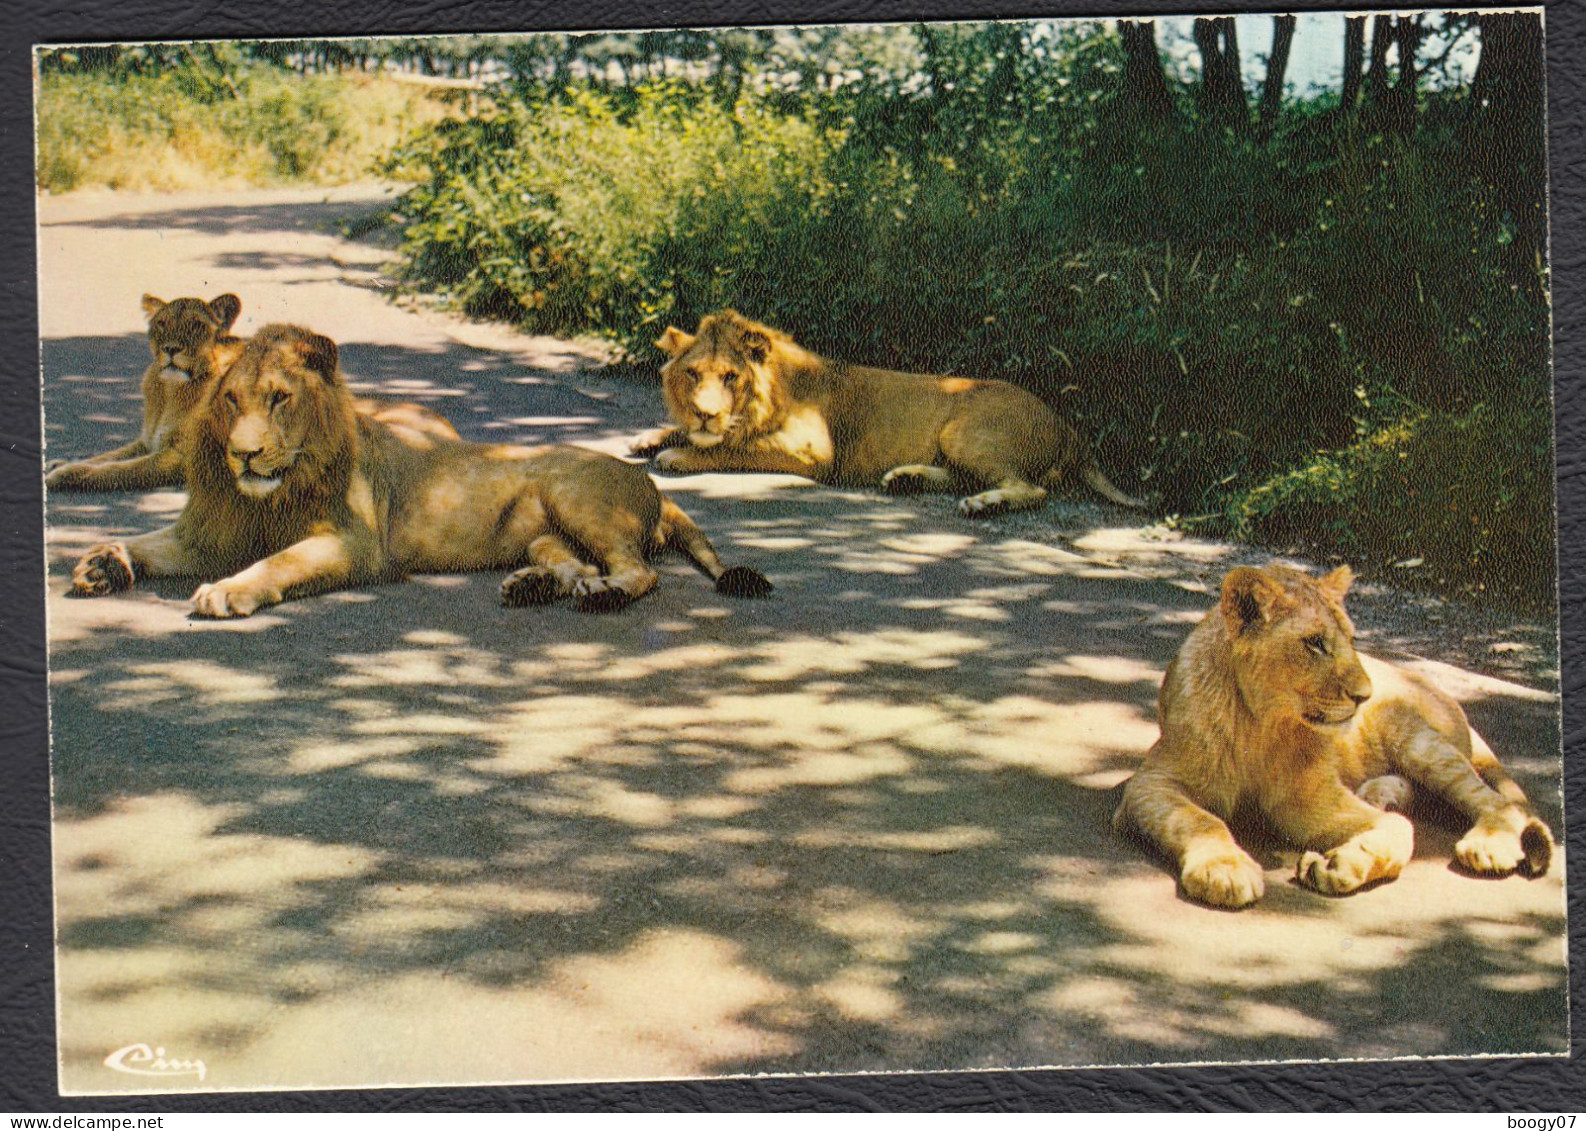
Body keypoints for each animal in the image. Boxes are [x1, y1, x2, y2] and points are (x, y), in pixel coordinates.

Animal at [68, 322, 773, 618]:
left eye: (279, 398)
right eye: (232, 401)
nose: (243, 453)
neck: (263, 494)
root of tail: (648, 478)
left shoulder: (352, 544)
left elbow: (278, 563)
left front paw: (226, 591)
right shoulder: (208, 532)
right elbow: (148, 541)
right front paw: (104, 563)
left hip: (579, 498)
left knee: (640, 571)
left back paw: (603, 597)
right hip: (545, 532)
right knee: (574, 565)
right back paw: (535, 587)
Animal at [631, 306, 1141, 513]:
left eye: (730, 377)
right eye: (693, 374)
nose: (704, 412)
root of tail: (1066, 423)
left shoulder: (814, 452)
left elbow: (732, 448)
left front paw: (678, 453)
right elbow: (693, 433)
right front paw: (650, 436)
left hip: (963, 432)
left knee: (1032, 489)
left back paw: (984, 504)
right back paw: (907, 479)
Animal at [1122, 564, 1554, 907]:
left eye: (1351, 639)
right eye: (1315, 643)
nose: (1364, 695)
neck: (1262, 727)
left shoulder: (1308, 801)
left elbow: (1401, 830)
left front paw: (1339, 864)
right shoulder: (1152, 781)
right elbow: (1201, 820)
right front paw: (1224, 870)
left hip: (1415, 736)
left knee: (1498, 803)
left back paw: (1487, 845)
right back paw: (1383, 794)